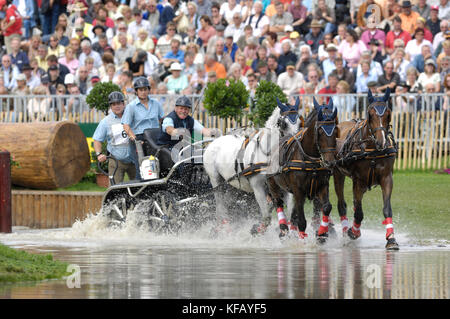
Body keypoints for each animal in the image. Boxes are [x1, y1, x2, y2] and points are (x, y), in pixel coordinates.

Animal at [204, 99, 302, 236]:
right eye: (283, 124)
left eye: (299, 122)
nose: (295, 144)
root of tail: (214, 142)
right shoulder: (258, 187)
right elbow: (266, 218)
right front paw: (256, 231)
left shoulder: (283, 187)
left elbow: (288, 215)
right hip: (216, 182)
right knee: (220, 206)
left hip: (230, 185)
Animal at [268, 99, 338, 241]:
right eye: (320, 132)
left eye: (335, 130)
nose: (330, 162)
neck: (310, 158)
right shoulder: (298, 190)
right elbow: (301, 220)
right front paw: (301, 238)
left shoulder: (322, 185)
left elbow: (326, 207)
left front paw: (322, 233)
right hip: (273, 183)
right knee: (278, 202)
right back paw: (283, 229)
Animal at [332, 89, 400, 251]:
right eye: (370, 114)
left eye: (388, 114)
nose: (382, 141)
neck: (372, 150)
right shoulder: (358, 180)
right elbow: (358, 213)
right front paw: (353, 232)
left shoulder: (387, 178)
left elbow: (386, 209)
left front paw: (391, 238)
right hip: (338, 174)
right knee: (342, 205)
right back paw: (346, 230)